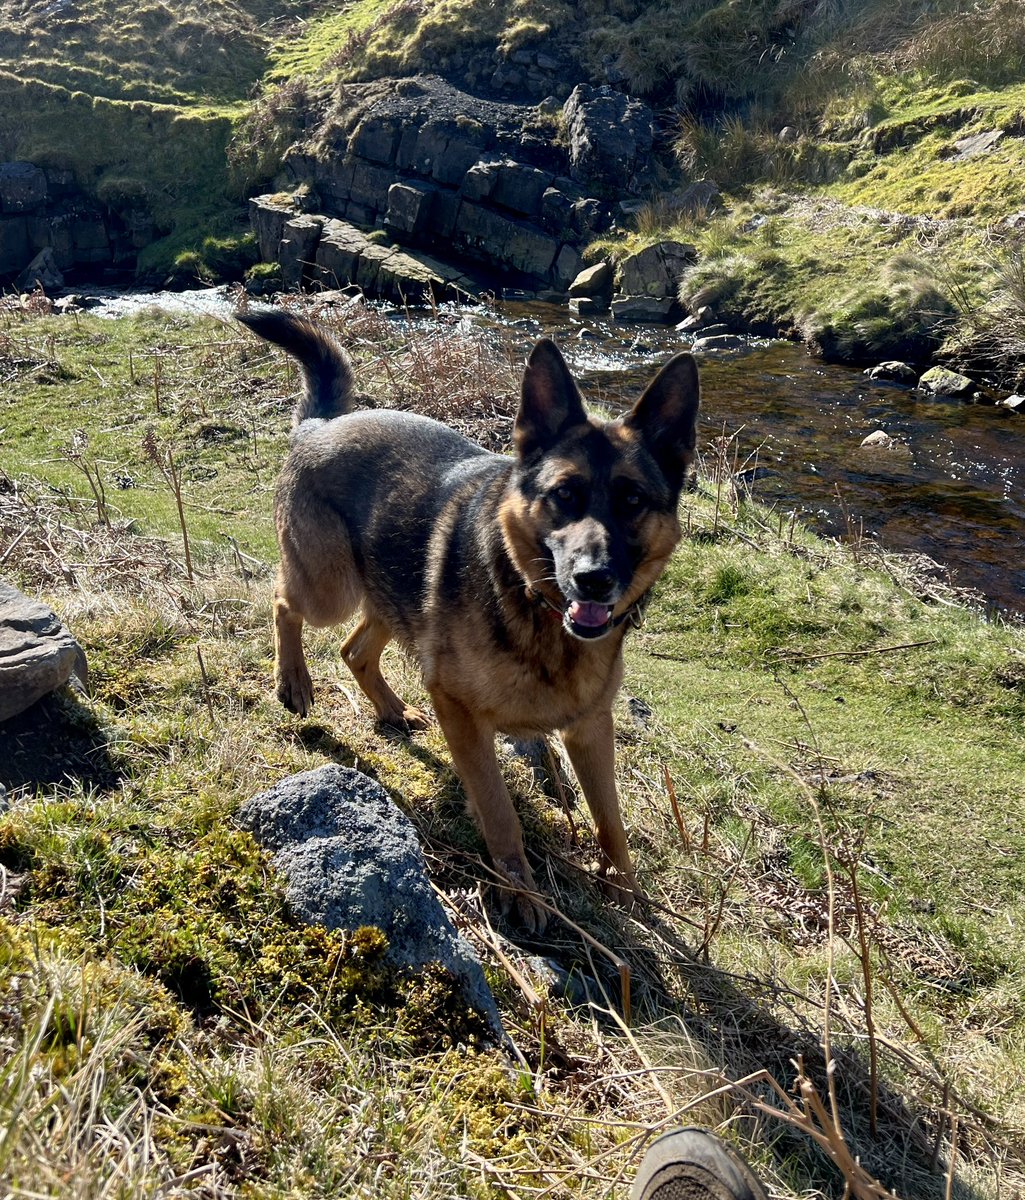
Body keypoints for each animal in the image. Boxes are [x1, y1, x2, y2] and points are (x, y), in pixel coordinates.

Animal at [241, 307, 700, 926]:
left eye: (632, 500)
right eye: (564, 494)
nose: (594, 578)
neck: (537, 610)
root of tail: (320, 426)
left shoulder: (590, 728)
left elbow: (611, 820)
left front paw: (625, 893)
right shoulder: (460, 711)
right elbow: (500, 810)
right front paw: (521, 893)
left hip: (396, 600)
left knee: (354, 650)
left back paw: (390, 709)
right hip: (328, 588)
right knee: (283, 600)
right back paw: (293, 680)